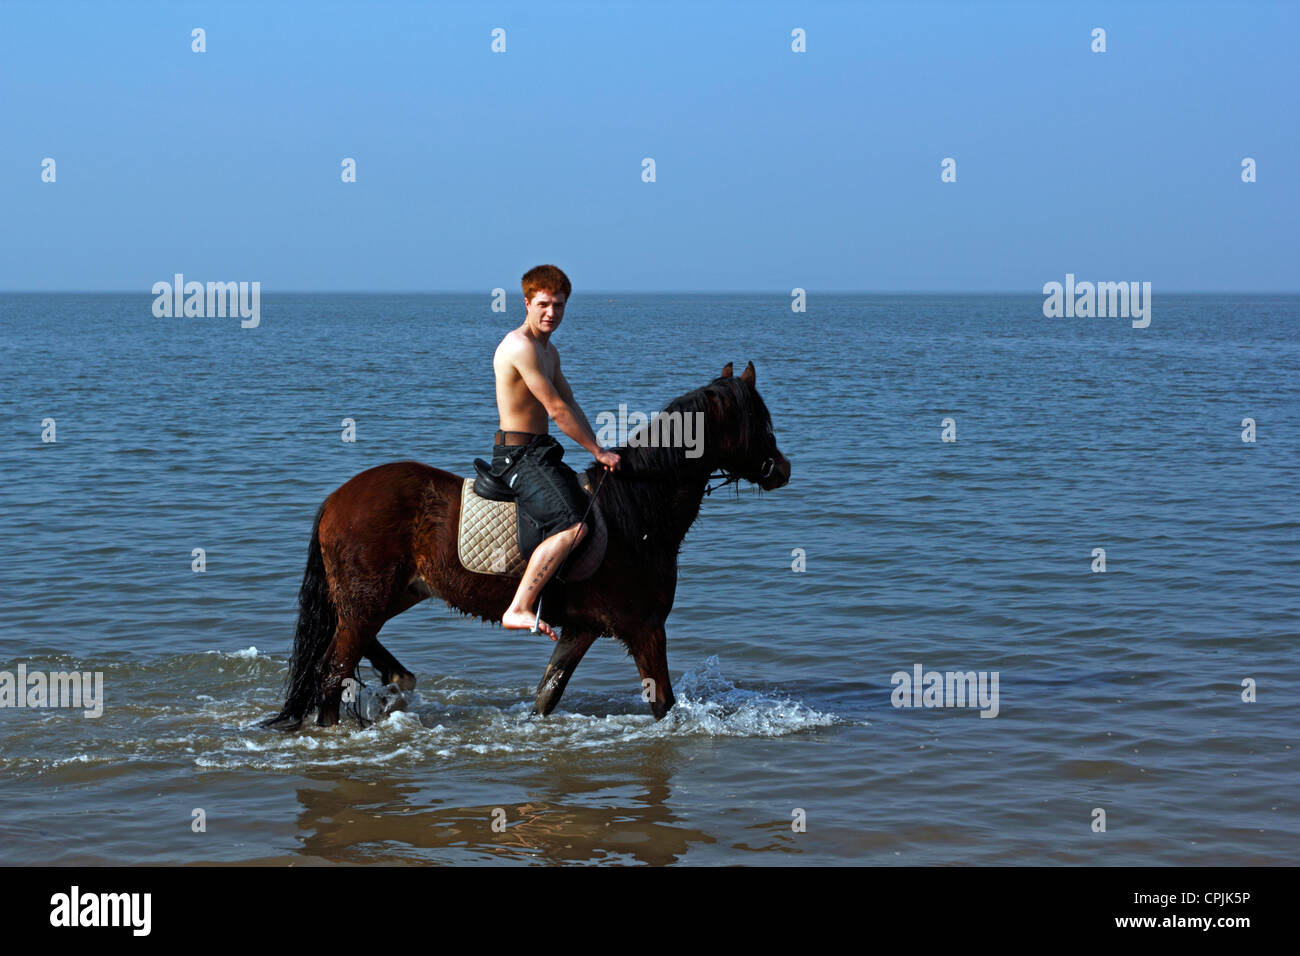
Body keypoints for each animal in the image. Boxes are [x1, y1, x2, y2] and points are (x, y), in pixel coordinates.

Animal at [262, 361, 785, 733]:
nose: (782, 469)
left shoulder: (580, 631)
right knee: (331, 672)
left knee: (345, 650)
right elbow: (664, 706)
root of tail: (337, 499)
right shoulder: (645, 628)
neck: (635, 511)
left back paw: (397, 679)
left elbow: (546, 695)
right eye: (758, 420)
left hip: (391, 595)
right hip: (369, 599)